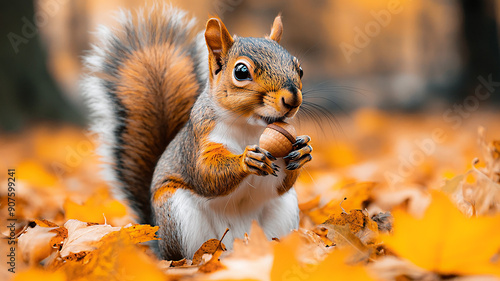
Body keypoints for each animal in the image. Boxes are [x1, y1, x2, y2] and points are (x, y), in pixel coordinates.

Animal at [82, 5, 312, 260]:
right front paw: (246, 159)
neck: (250, 127)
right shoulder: (199, 141)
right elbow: (205, 174)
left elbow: (281, 184)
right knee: (187, 256)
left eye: (300, 68)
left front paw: (303, 150)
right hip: (177, 212)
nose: (292, 99)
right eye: (241, 71)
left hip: (284, 210)